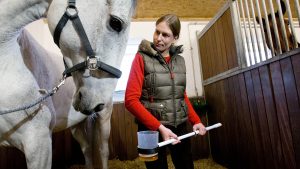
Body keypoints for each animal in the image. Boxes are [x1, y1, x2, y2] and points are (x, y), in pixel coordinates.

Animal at [0, 0, 136, 169]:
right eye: (116, 23)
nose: (98, 102)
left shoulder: (39, 142)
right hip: (76, 125)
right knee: (87, 148)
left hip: (104, 118)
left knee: (103, 151)